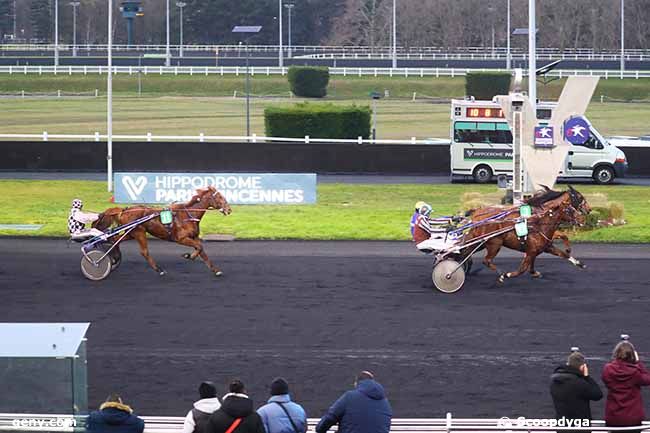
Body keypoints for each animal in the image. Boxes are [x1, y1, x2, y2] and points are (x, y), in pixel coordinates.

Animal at [93, 184, 230, 276]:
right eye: (219, 197)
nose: (229, 209)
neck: (188, 214)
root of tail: (124, 210)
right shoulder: (181, 238)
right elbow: (199, 247)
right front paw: (188, 255)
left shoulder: (194, 237)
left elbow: (202, 251)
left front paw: (216, 270)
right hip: (139, 232)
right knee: (144, 252)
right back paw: (159, 270)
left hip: (131, 233)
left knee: (116, 239)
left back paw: (115, 258)